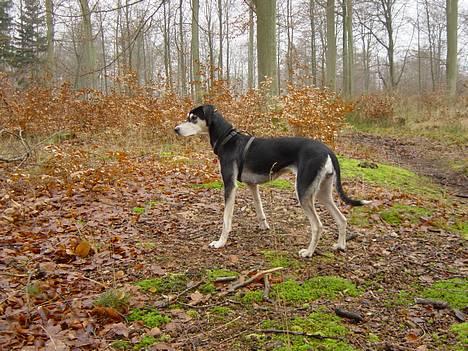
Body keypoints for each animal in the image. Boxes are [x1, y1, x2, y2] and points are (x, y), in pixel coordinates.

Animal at [174, 104, 372, 258]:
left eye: (193, 118)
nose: (175, 129)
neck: (228, 139)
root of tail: (327, 150)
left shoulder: (230, 185)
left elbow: (226, 218)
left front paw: (220, 242)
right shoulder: (252, 185)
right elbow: (259, 208)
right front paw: (264, 226)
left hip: (303, 191)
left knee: (318, 226)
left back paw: (308, 252)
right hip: (323, 192)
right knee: (342, 219)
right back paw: (340, 245)